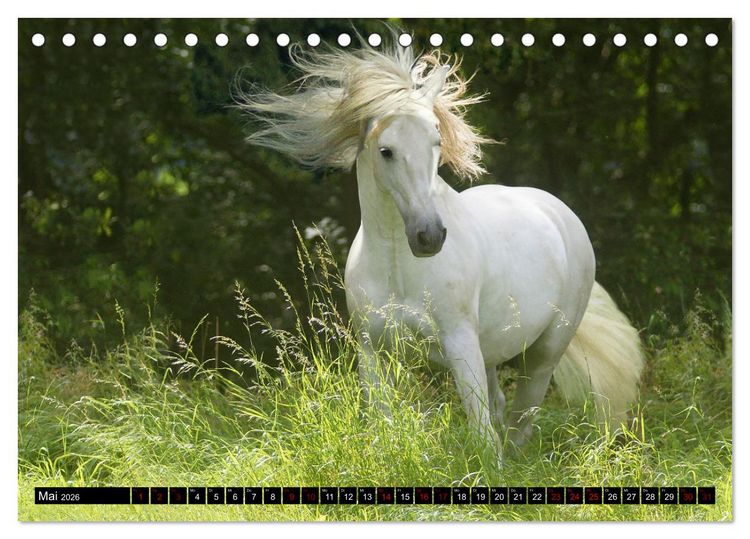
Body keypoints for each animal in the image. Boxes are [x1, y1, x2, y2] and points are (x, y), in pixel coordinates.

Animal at [238, 39, 644, 461]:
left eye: (436, 142)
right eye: (386, 151)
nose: (429, 236)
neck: (399, 266)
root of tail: (559, 212)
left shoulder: (459, 342)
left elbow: (480, 430)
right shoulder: (372, 351)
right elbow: (384, 421)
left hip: (546, 348)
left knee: (523, 415)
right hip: (492, 350)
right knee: (502, 405)